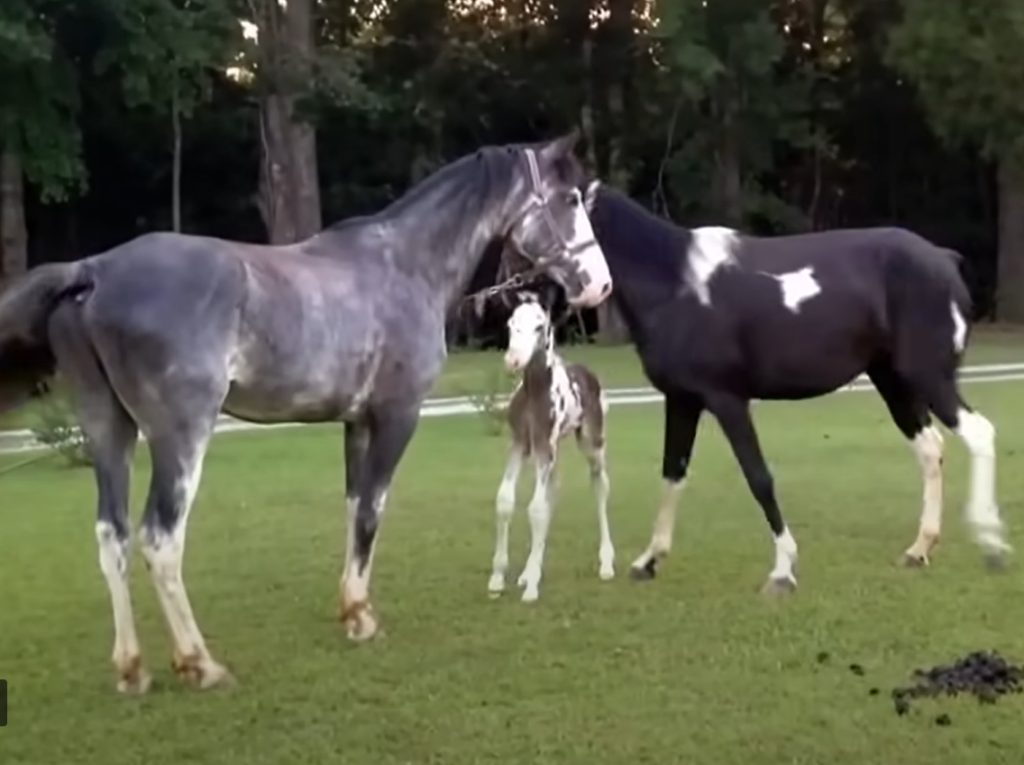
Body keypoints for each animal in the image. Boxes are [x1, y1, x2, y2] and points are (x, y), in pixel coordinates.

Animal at [489, 291, 614, 602]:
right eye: (510, 324)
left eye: (539, 326)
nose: (513, 360)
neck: (536, 389)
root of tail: (589, 374)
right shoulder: (521, 443)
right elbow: (506, 501)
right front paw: (498, 578)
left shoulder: (544, 446)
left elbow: (535, 509)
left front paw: (532, 586)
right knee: (553, 492)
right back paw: (527, 572)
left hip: (591, 443)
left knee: (599, 486)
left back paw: (607, 564)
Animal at [565, 180, 1010, 595]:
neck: (676, 283)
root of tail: (944, 258)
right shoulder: (682, 400)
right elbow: (673, 472)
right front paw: (648, 561)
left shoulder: (727, 400)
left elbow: (759, 477)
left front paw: (782, 571)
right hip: (893, 382)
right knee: (931, 449)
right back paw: (919, 550)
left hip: (929, 377)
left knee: (979, 433)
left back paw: (991, 545)